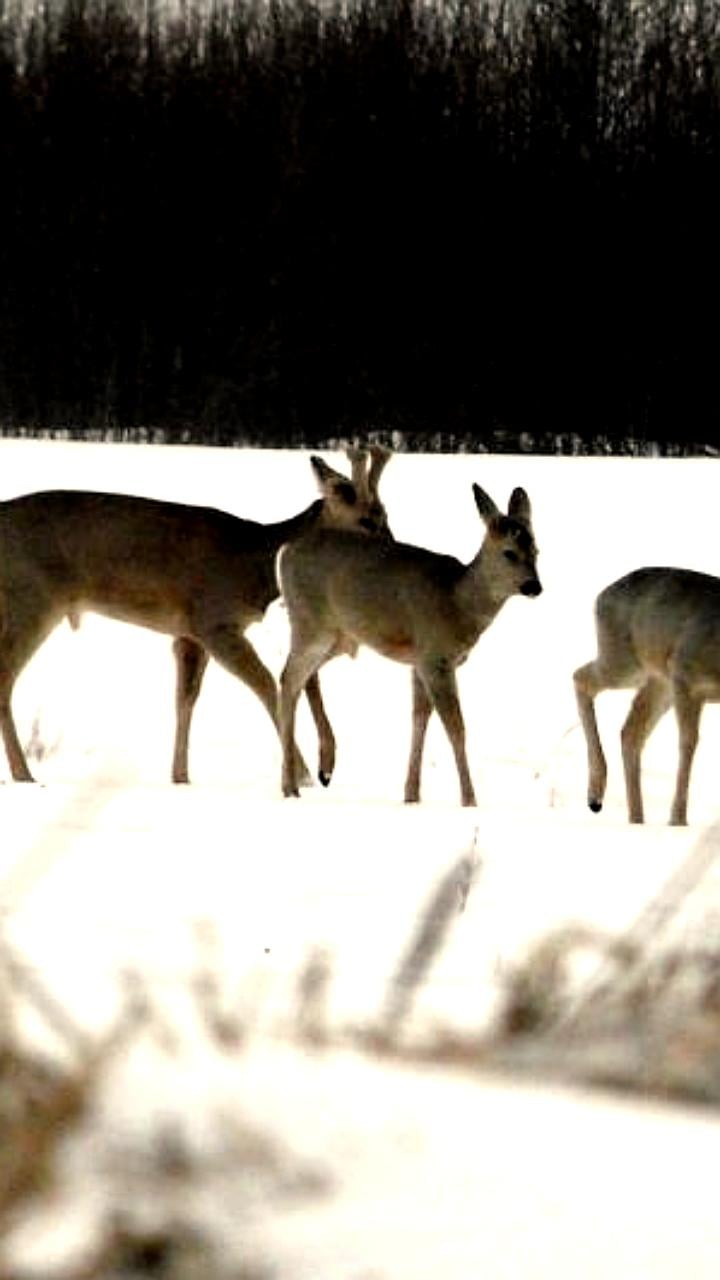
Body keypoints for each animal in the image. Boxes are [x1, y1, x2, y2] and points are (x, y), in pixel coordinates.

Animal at [0, 450, 389, 788]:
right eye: (366, 520)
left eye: (386, 514)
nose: (392, 552)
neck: (257, 564)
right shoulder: (214, 619)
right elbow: (266, 684)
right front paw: (305, 774)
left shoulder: (188, 634)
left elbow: (185, 699)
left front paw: (180, 777)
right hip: (30, 599)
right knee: (4, 679)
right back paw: (24, 776)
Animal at [274, 481, 538, 798]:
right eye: (509, 553)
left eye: (537, 550)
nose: (535, 586)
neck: (457, 601)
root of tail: (285, 551)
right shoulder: (434, 656)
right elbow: (456, 727)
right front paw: (469, 799)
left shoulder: (420, 661)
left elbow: (419, 718)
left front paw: (411, 794)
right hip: (311, 624)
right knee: (289, 679)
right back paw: (290, 786)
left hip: (338, 636)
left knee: (300, 678)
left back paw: (312, 771)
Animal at [571, 565, 720, 824]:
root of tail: (601, 596)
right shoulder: (685, 674)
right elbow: (688, 742)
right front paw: (678, 821)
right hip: (626, 665)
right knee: (580, 677)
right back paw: (596, 795)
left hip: (658, 681)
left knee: (630, 733)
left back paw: (636, 819)